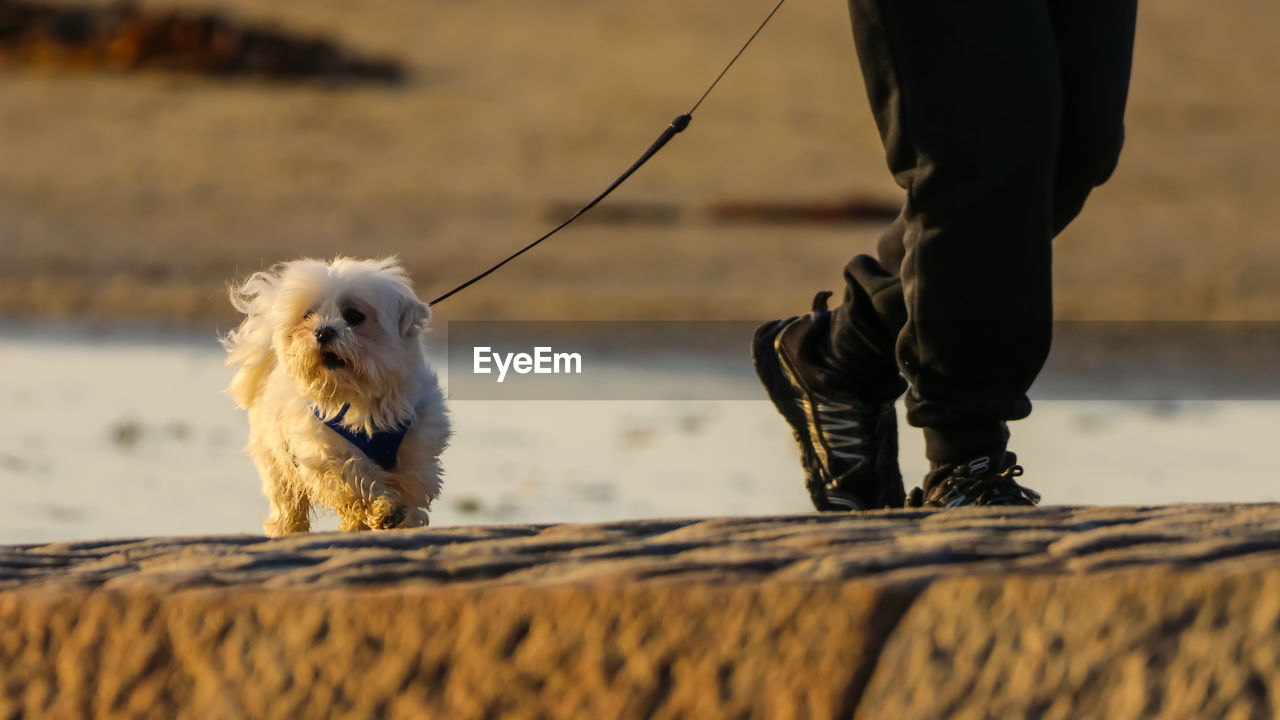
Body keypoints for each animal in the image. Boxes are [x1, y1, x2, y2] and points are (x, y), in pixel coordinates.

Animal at [224, 256, 450, 532]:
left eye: (354, 316)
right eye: (307, 315)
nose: (323, 331)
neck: (356, 395)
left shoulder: (416, 450)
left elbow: (411, 484)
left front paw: (398, 517)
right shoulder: (324, 449)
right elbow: (352, 478)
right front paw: (383, 509)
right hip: (277, 464)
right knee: (288, 504)